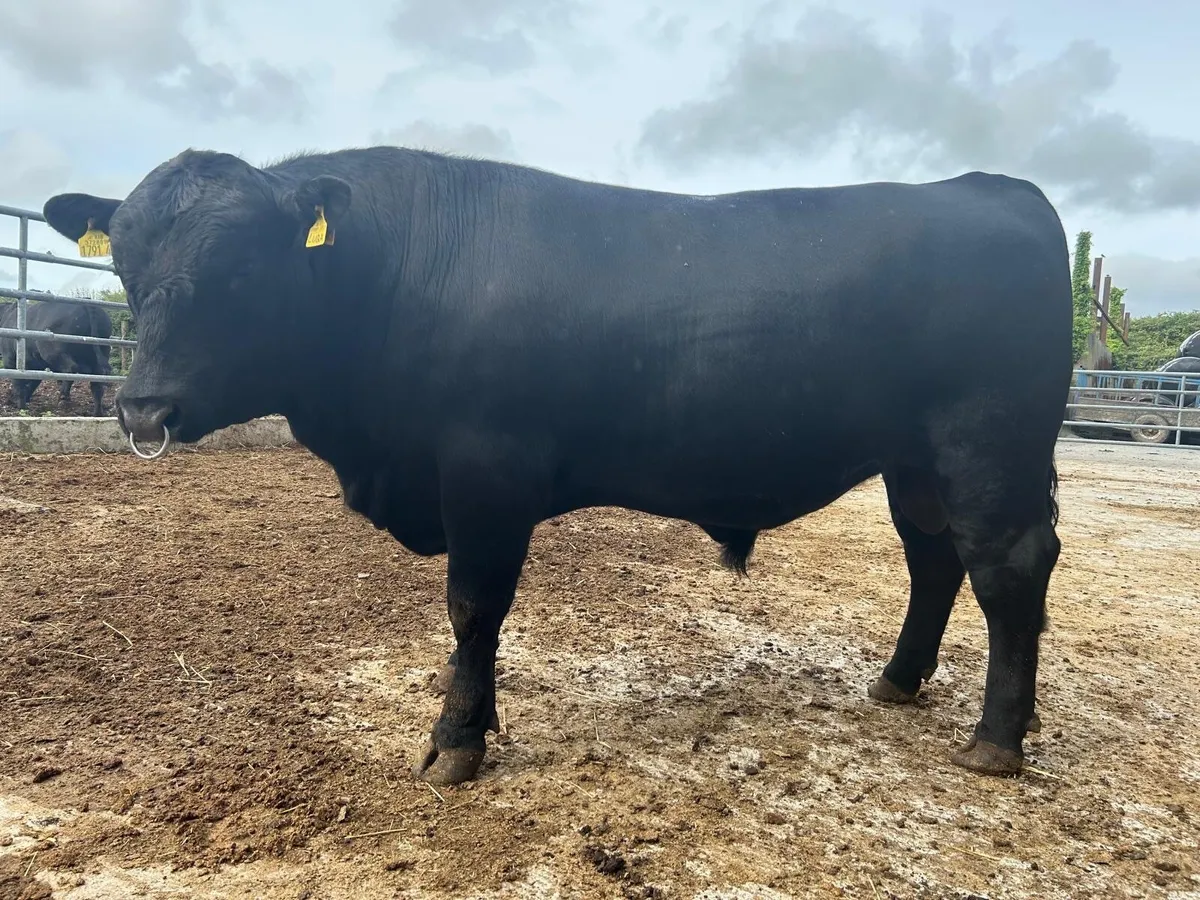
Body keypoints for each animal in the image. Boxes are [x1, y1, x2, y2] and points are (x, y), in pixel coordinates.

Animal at [42, 148, 1072, 786]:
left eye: (242, 268)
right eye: (126, 265)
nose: (145, 408)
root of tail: (992, 185)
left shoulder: (486, 478)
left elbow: (472, 609)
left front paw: (456, 743)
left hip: (988, 446)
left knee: (1007, 571)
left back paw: (995, 740)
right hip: (915, 464)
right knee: (935, 561)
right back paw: (899, 680)